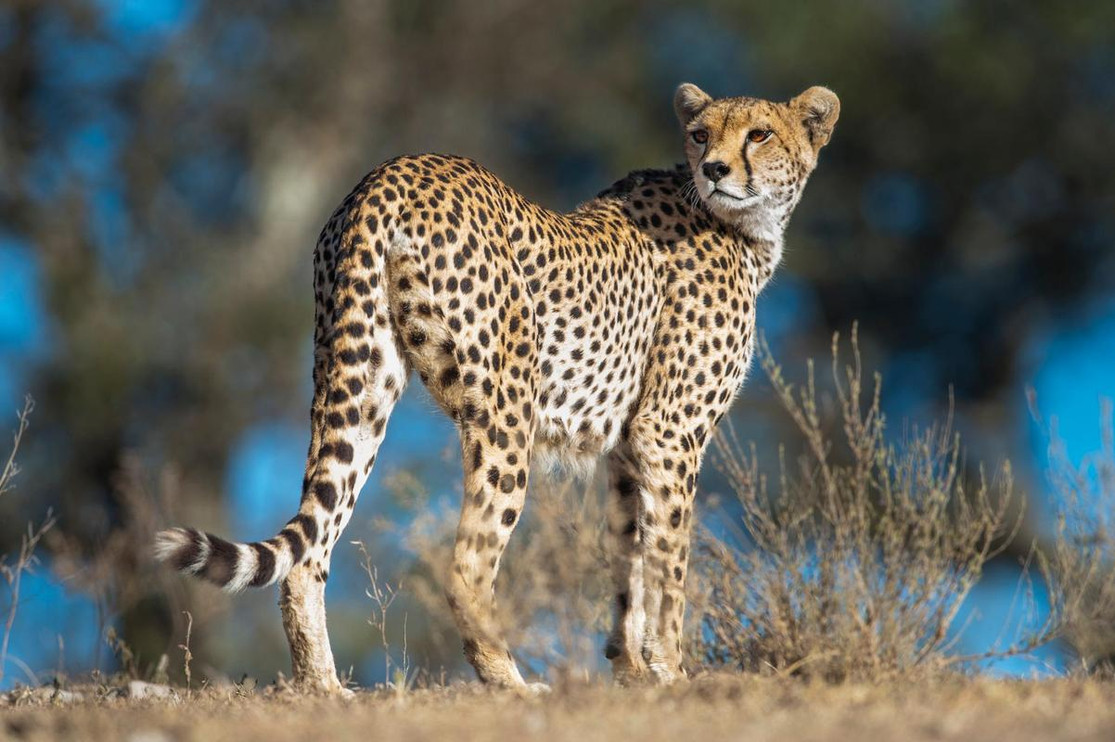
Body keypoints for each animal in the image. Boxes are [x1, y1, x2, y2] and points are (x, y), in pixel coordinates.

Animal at [155, 82, 839, 694]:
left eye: (759, 133)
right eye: (700, 134)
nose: (716, 168)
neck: (736, 223)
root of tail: (393, 171)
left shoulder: (627, 448)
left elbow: (630, 562)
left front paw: (631, 669)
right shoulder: (668, 434)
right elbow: (669, 563)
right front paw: (672, 672)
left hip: (359, 381)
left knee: (309, 555)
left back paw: (325, 688)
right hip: (507, 409)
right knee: (466, 565)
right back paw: (509, 681)